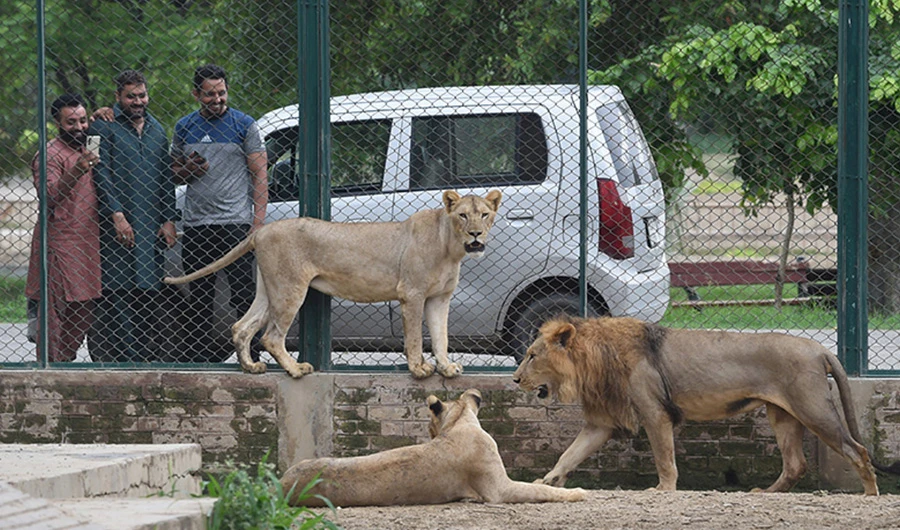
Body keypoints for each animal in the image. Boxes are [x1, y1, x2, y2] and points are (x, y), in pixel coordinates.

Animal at [163, 190, 501, 379]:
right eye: (462, 216)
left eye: (485, 214)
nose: (475, 234)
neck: (450, 247)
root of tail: (261, 230)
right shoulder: (412, 294)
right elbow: (416, 338)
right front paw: (419, 370)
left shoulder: (439, 298)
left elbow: (441, 336)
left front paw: (447, 368)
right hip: (290, 289)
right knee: (271, 337)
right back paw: (296, 369)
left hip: (269, 289)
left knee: (242, 327)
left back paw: (250, 368)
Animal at [280, 388, 586, 507]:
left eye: (429, 426)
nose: (427, 432)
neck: (460, 423)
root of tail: (281, 484)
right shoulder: (499, 489)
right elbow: (543, 490)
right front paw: (578, 493)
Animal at [513, 315, 900, 495]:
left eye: (532, 356)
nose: (515, 379)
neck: (590, 362)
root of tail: (820, 348)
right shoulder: (601, 423)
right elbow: (569, 454)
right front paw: (548, 481)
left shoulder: (655, 412)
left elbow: (664, 458)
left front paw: (664, 490)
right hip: (783, 415)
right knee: (795, 464)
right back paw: (764, 493)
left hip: (813, 409)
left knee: (857, 450)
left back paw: (871, 493)